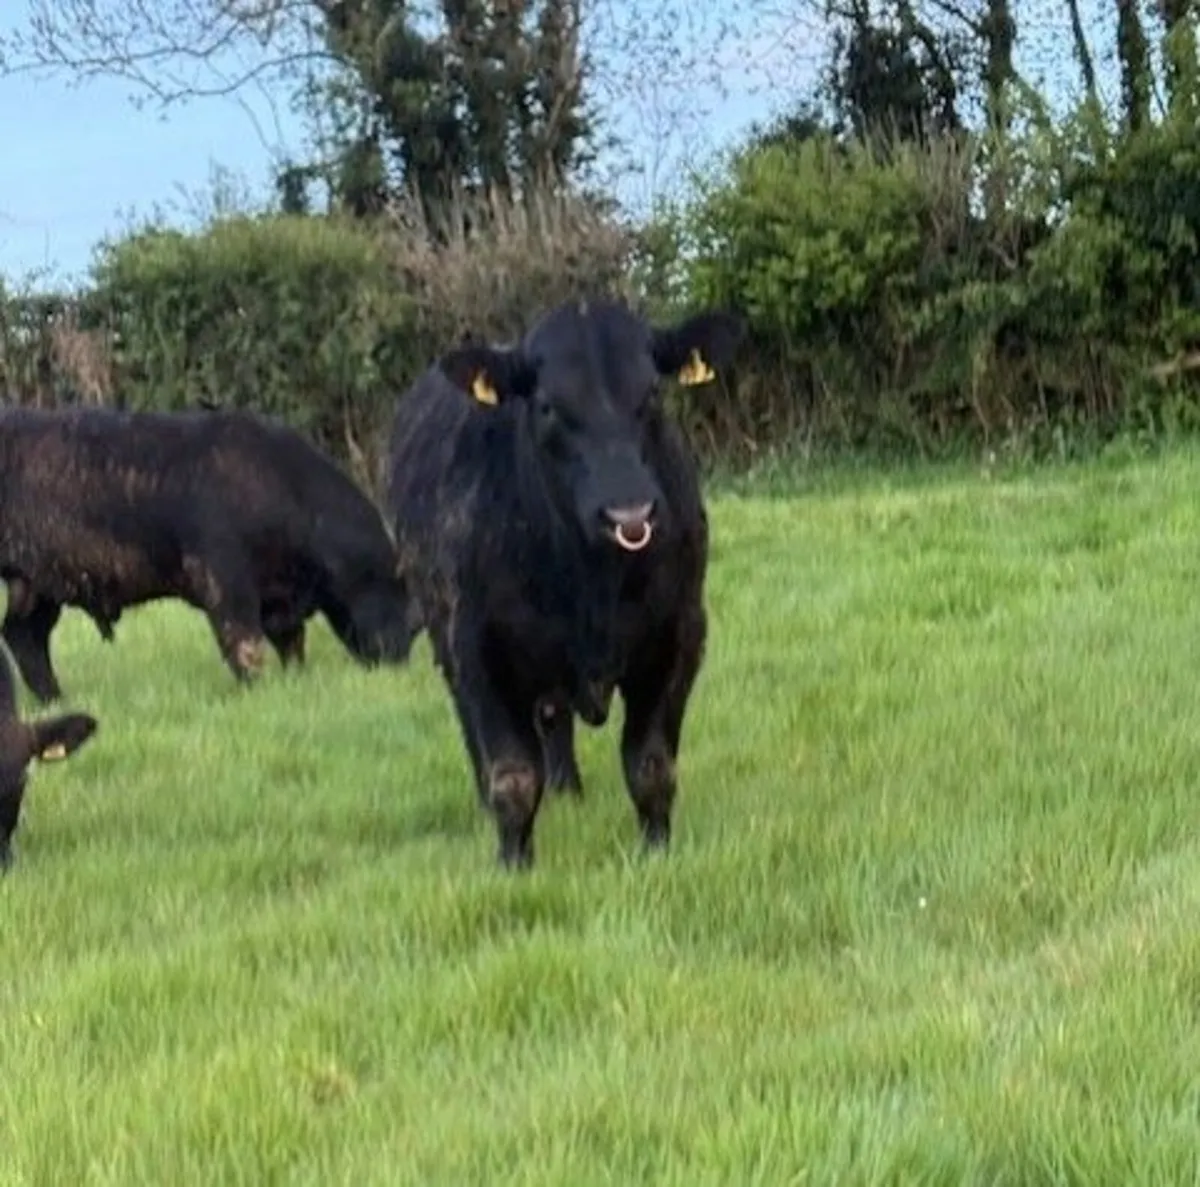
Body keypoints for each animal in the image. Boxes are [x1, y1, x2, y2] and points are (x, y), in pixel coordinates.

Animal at [0, 405, 416, 701]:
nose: (398, 665)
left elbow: (291, 641)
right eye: (411, 612)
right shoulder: (224, 578)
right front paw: (256, 689)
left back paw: (57, 699)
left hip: (34, 584)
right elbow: (243, 640)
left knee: (23, 634)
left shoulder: (278, 599)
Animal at [385, 297, 744, 868]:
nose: (629, 512)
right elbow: (511, 776)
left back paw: (567, 788)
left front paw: (656, 850)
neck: (591, 583)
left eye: (652, 392)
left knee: (555, 719)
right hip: (445, 637)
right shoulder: (479, 651)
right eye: (549, 406)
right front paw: (514, 863)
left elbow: (650, 765)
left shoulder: (679, 636)